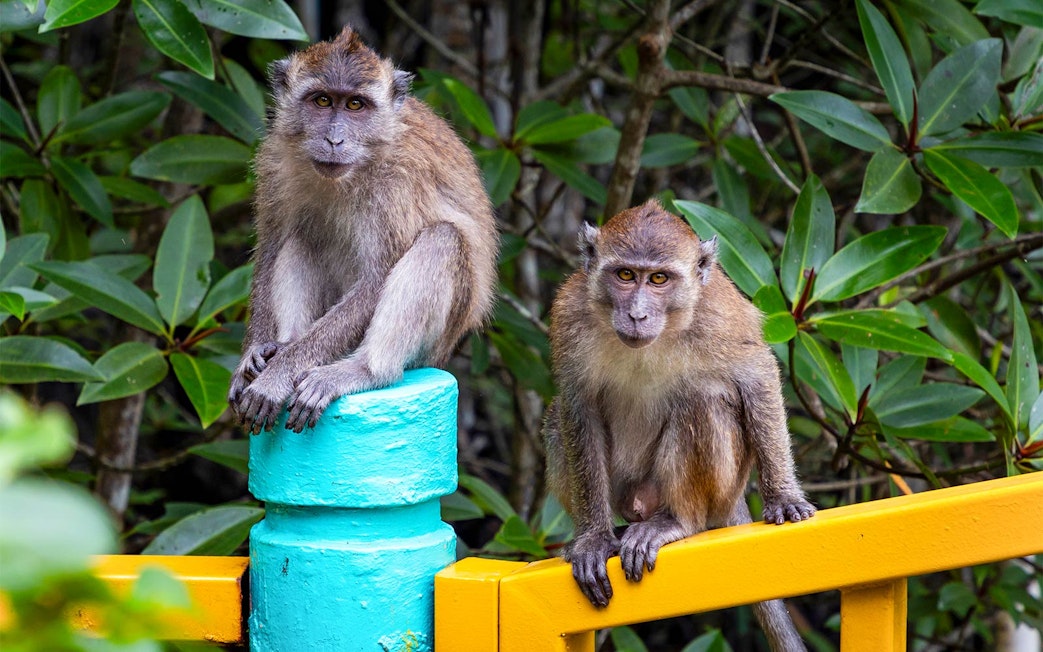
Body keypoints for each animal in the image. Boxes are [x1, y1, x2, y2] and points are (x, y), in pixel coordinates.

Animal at [228, 26, 499, 434]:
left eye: (356, 105)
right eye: (323, 101)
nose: (334, 140)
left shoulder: (397, 183)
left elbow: (377, 279)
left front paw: (278, 376)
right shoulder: (274, 160)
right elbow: (271, 248)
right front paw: (254, 356)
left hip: (435, 344)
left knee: (442, 240)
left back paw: (363, 369)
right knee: (303, 235)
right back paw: (285, 344)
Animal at [542, 199, 815, 651]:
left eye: (659, 279)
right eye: (625, 275)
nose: (637, 314)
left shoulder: (719, 315)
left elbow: (755, 372)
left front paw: (783, 496)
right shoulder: (570, 317)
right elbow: (578, 406)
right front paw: (593, 539)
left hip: (720, 488)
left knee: (702, 399)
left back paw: (676, 523)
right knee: (555, 418)